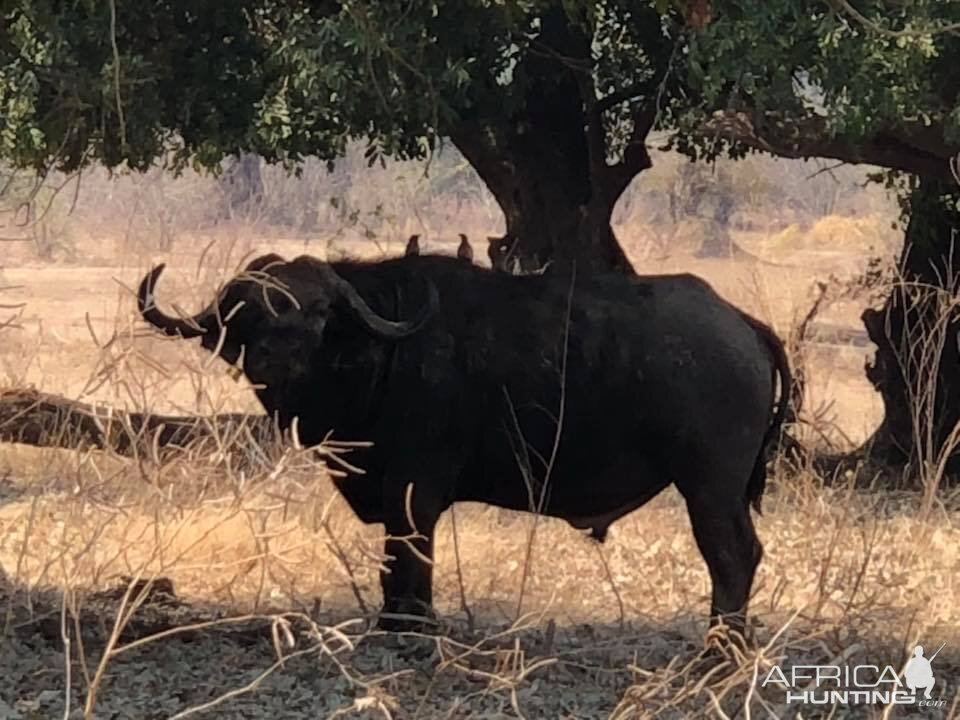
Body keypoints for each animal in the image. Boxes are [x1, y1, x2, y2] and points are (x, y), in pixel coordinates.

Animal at [139, 253, 792, 636]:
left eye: (321, 311)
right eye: (247, 310)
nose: (276, 357)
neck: (382, 357)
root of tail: (742, 325)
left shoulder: (414, 486)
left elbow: (410, 555)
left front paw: (412, 626)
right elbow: (392, 563)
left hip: (710, 488)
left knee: (733, 556)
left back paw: (721, 643)